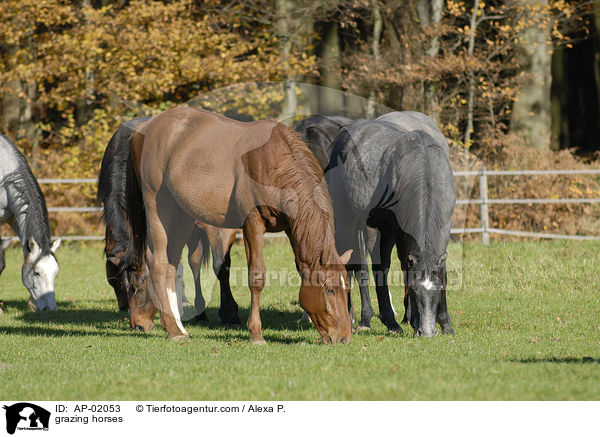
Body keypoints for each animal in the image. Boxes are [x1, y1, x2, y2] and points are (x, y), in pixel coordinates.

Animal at [97, 116, 240, 328]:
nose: (133, 320)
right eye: (115, 283)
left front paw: (230, 312)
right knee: (194, 262)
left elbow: (219, 266)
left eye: (141, 284)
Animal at [126, 107, 352, 342]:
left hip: (182, 217)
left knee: (171, 263)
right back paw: (172, 329)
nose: (343, 337)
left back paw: (179, 327)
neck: (272, 163)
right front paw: (256, 334)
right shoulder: (252, 223)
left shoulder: (292, 229)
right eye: (330, 290)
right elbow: (257, 276)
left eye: (347, 288)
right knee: (158, 262)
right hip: (159, 209)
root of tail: (144, 129)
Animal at [324, 110, 454, 336]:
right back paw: (357, 318)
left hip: (382, 231)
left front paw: (446, 325)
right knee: (353, 266)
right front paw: (415, 321)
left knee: (380, 267)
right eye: (414, 291)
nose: (427, 332)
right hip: (350, 221)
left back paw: (391, 322)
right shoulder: (399, 231)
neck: (425, 167)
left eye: (437, 291)